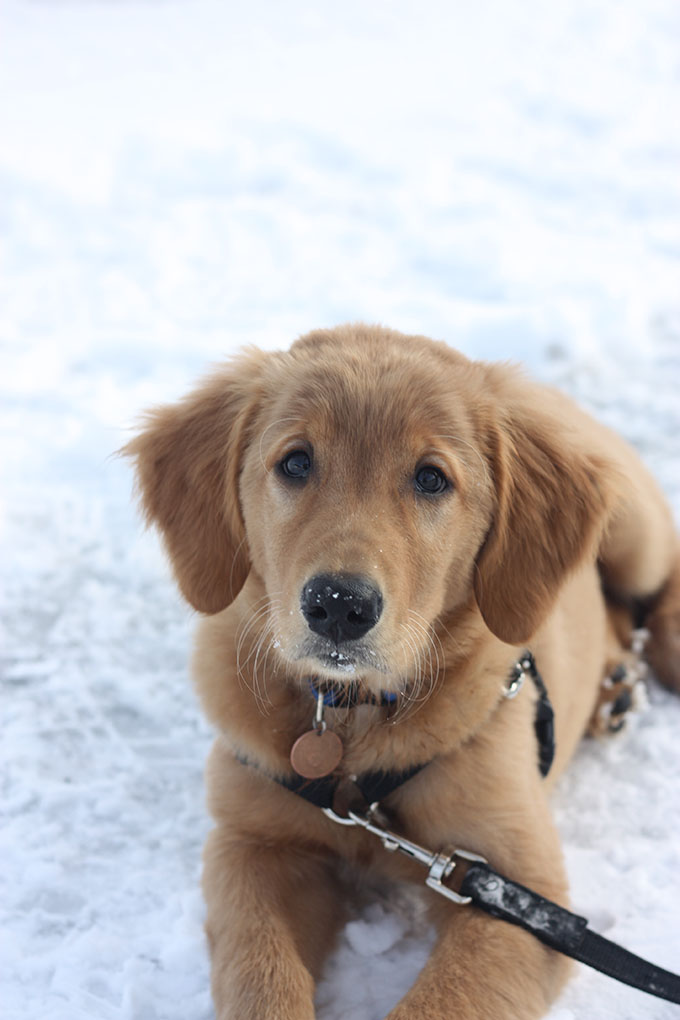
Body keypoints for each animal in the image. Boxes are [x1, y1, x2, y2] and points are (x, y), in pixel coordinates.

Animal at [124, 322, 680, 1015]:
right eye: (296, 462)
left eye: (431, 479)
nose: (339, 605)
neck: (350, 726)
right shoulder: (251, 844)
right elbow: (259, 974)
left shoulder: (521, 892)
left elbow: (443, 999)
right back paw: (616, 689)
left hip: (638, 531)